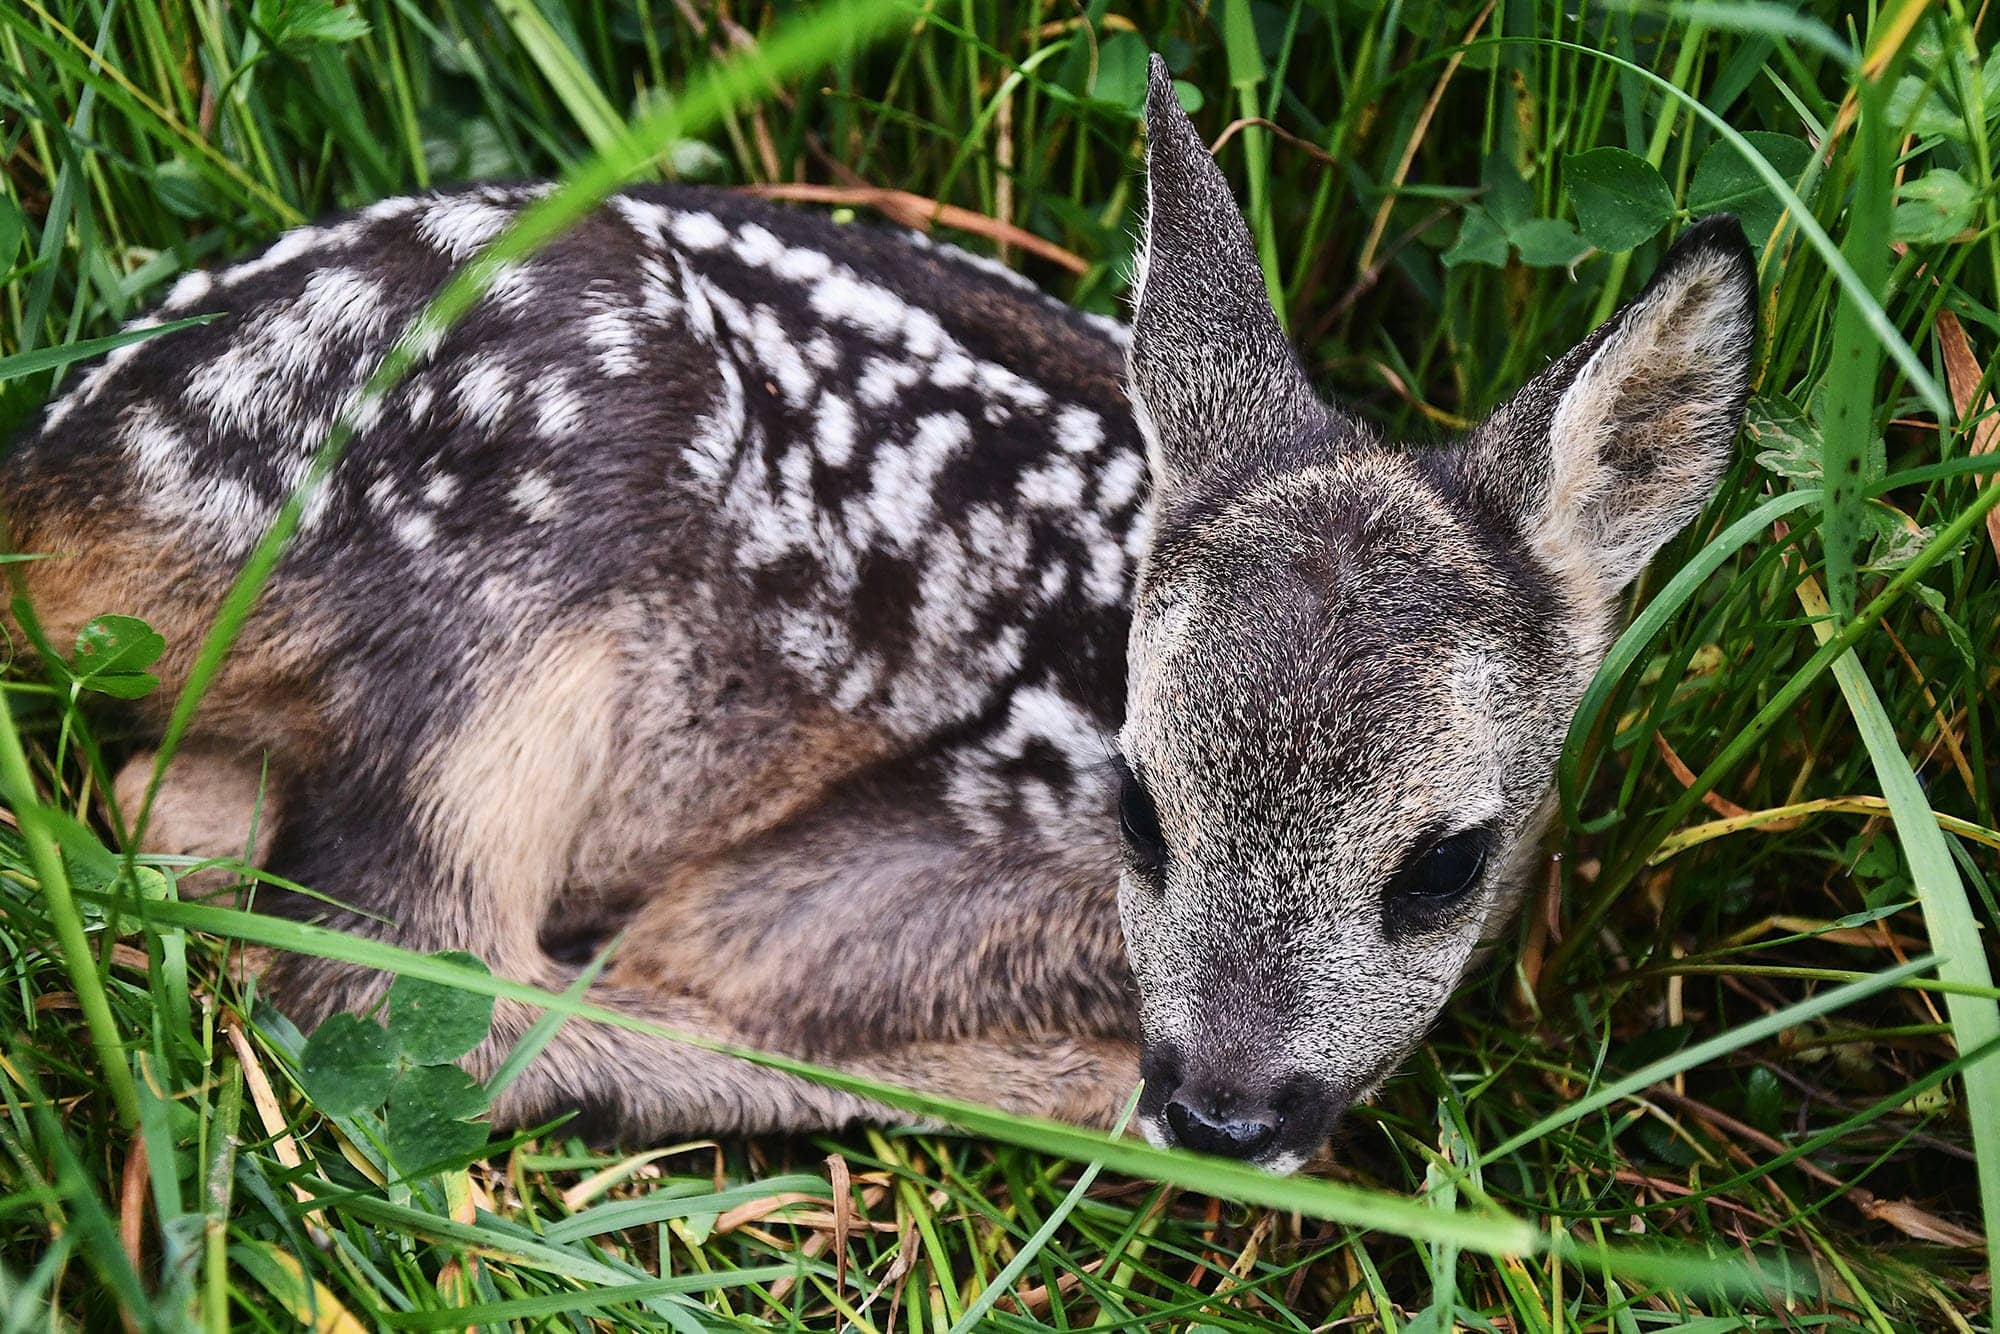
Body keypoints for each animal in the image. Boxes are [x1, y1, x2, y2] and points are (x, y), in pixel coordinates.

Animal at [1, 57, 1756, 1170]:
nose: (1226, 1110)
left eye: (1446, 861)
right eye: (1138, 803)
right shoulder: (881, 860)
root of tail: (58, 471)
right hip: (513, 586)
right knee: (400, 984)